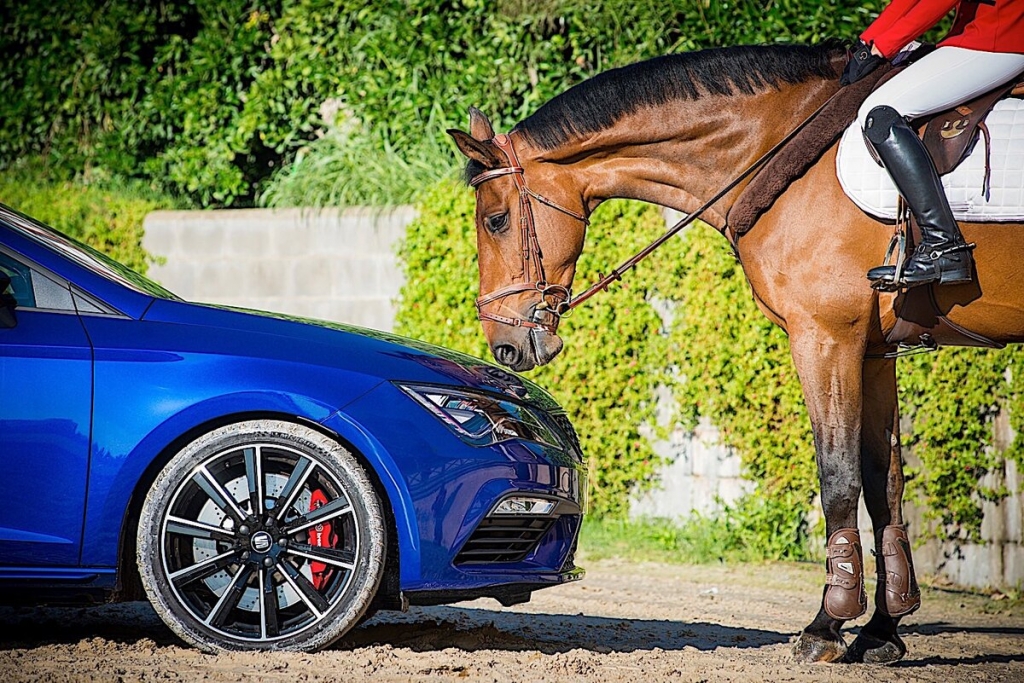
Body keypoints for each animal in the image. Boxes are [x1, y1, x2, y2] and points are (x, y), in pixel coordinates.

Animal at [447, 42, 1024, 664]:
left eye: (496, 220)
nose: (505, 345)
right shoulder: (874, 354)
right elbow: (883, 485)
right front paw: (881, 632)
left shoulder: (826, 338)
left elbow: (838, 475)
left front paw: (826, 626)